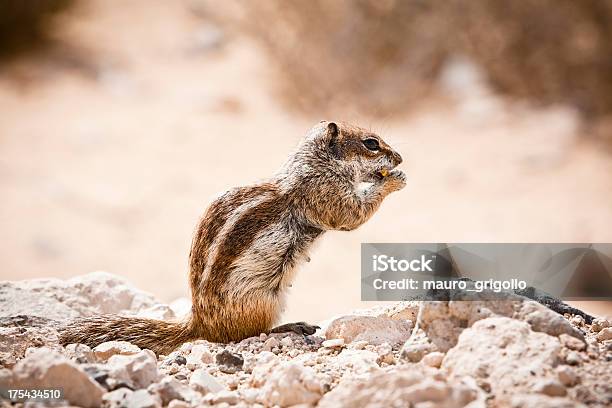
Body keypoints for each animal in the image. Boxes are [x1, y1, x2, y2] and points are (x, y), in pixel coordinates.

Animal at [59, 121, 406, 354]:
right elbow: (352, 214)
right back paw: (291, 326)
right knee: (242, 336)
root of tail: (198, 323)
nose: (400, 158)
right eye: (371, 143)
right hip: (263, 302)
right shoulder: (325, 193)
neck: (313, 163)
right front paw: (394, 180)